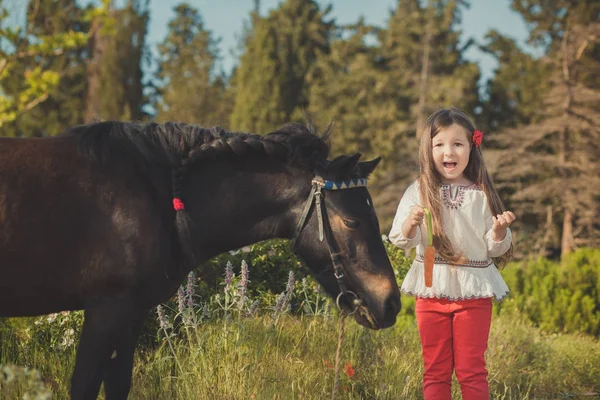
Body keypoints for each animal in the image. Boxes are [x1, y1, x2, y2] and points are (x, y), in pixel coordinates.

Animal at [1, 120, 404, 398]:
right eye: (351, 221)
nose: (390, 302)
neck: (158, 195)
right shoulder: (105, 309)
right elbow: (84, 386)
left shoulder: (131, 313)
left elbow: (117, 385)